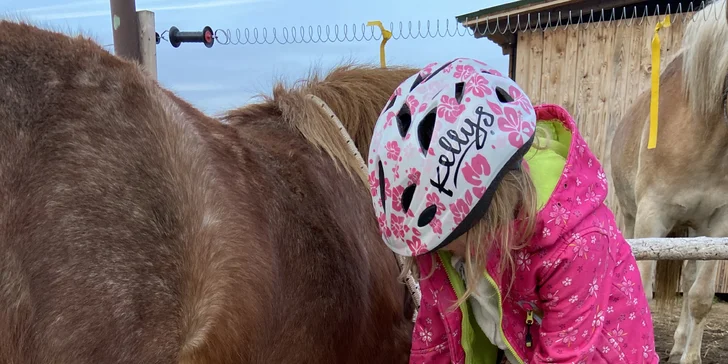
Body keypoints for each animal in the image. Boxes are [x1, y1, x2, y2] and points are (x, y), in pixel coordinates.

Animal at [612, 1, 724, 362]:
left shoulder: (719, 224)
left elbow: (701, 297)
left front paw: (691, 357)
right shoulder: (651, 216)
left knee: (688, 283)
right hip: (631, 216)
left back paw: (678, 345)